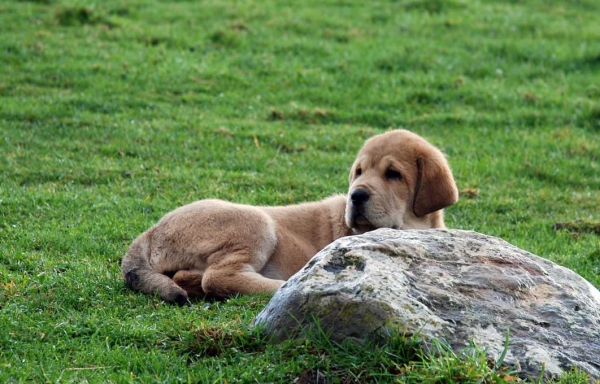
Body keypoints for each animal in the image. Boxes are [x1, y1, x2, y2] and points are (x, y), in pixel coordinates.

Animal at [122, 130, 460, 304]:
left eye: (393, 174)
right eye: (359, 172)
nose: (356, 195)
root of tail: (150, 232)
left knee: (189, 278)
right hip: (256, 224)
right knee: (218, 277)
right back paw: (284, 285)